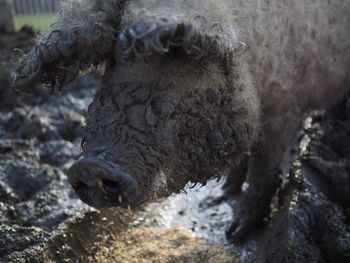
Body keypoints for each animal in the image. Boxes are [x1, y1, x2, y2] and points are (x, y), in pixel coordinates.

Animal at [10, 0, 350, 241]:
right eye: (113, 59)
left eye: (179, 52)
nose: (91, 167)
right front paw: (225, 193)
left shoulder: (285, 107)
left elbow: (265, 170)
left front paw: (235, 234)